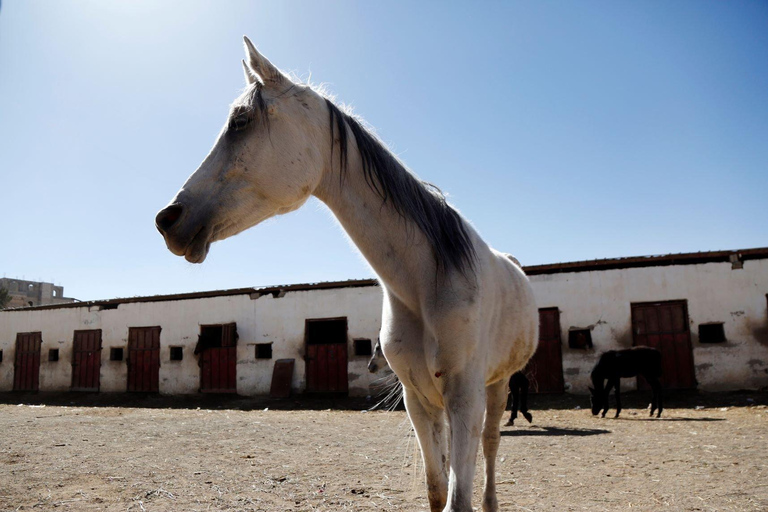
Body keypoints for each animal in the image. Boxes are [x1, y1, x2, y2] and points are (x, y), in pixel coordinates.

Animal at [154, 37, 540, 512]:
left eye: (241, 121)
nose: (168, 219)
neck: (426, 281)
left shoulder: (465, 397)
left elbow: (459, 498)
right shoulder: (418, 400)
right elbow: (437, 492)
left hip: (497, 386)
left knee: (490, 445)